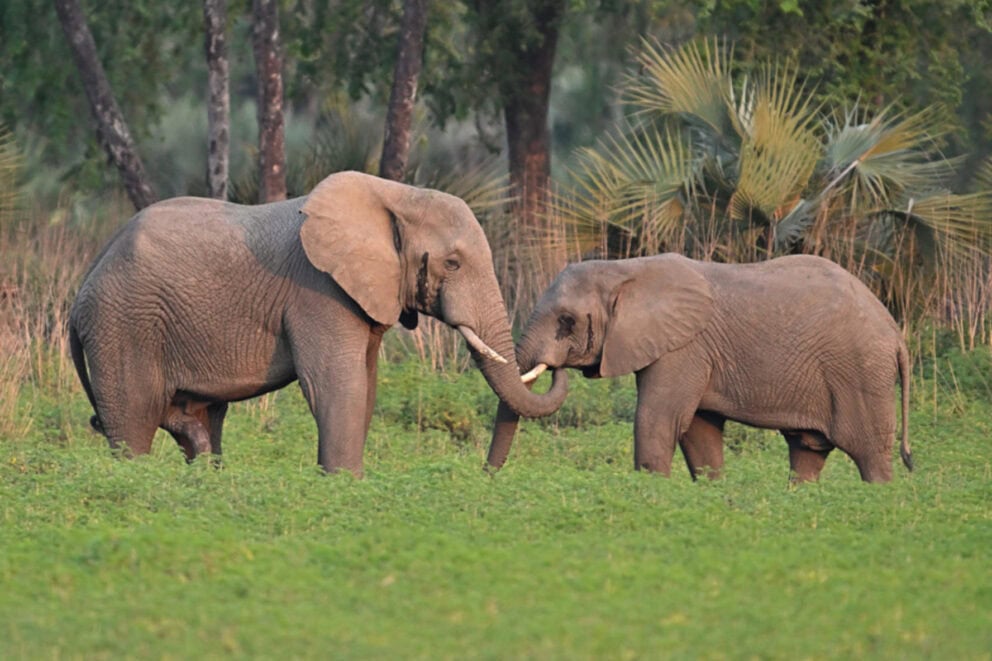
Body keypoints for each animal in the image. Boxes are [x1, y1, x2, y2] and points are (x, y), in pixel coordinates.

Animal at [69, 171, 566, 475]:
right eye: (454, 263)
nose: (485, 473)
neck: (396, 195)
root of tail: (81, 291)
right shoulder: (317, 290)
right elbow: (335, 382)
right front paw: (345, 485)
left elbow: (366, 384)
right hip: (124, 326)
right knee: (133, 424)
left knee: (202, 421)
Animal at [486, 253, 913, 483]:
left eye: (566, 321)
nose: (488, 476)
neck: (626, 269)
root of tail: (896, 332)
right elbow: (700, 434)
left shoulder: (684, 348)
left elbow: (657, 421)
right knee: (807, 454)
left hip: (862, 373)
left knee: (871, 455)